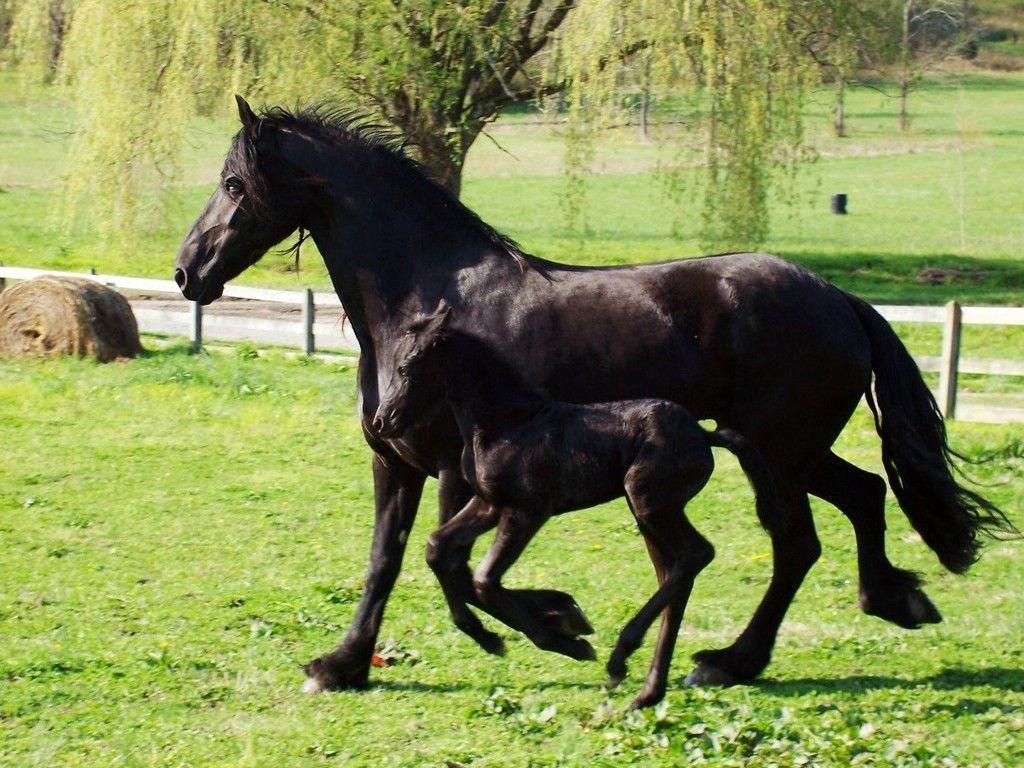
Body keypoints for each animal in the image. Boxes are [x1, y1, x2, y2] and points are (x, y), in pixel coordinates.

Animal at [366, 301, 784, 707]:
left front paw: (569, 640)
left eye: (406, 367)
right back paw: (646, 690)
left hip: (649, 502)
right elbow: (438, 548)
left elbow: (485, 579)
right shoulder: (488, 504)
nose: (382, 422)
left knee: (696, 554)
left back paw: (621, 657)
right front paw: (495, 636)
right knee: (677, 570)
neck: (506, 422)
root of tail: (702, 434)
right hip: (650, 510)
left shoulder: (527, 511)